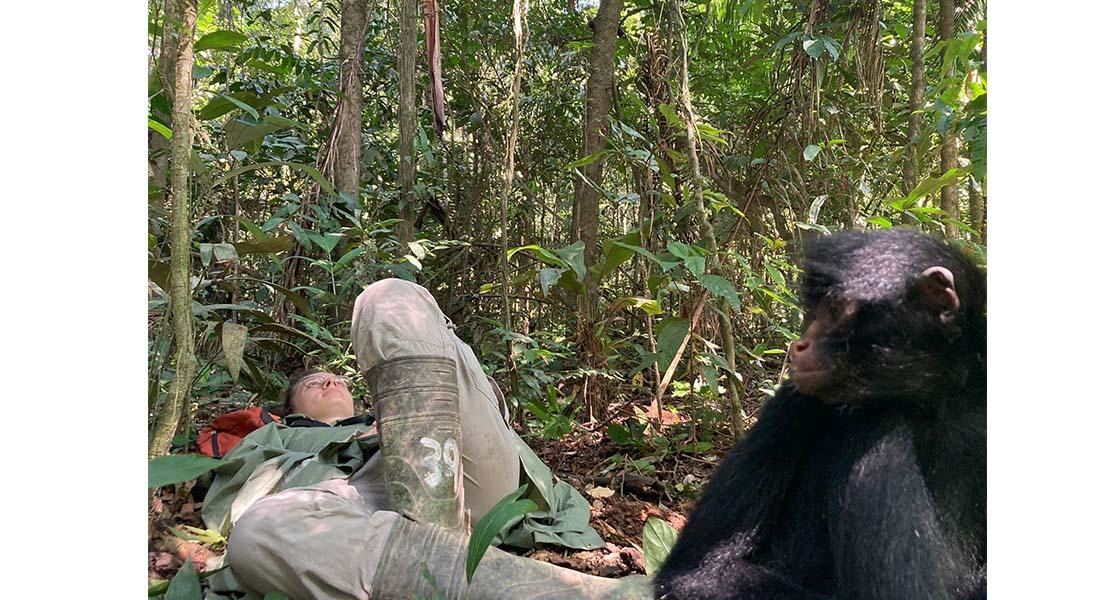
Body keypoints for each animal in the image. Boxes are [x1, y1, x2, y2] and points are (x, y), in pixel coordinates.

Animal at [651, 228, 990, 598]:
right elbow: (694, 575)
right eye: (817, 310)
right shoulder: (795, 398)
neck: (936, 406)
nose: (799, 345)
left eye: (835, 310)